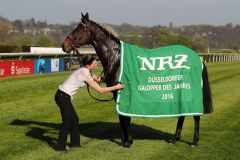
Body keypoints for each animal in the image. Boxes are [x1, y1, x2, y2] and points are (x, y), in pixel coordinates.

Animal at [61, 12, 212, 148]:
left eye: (79, 29)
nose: (64, 45)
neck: (116, 59)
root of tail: (197, 58)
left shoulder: (121, 92)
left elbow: (124, 117)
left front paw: (128, 141)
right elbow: (123, 117)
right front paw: (124, 140)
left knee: (195, 115)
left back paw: (194, 142)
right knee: (183, 114)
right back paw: (174, 139)